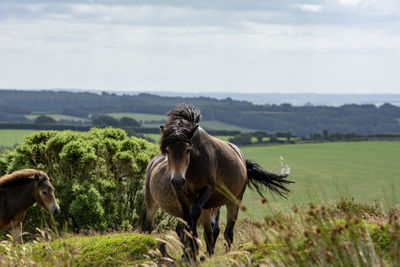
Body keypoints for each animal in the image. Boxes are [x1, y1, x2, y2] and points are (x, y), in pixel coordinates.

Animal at [142, 104, 292, 260]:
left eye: (188, 150)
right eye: (167, 150)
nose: (177, 180)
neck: (192, 168)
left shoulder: (206, 192)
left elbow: (198, 220)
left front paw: (195, 250)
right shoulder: (183, 195)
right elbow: (188, 220)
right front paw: (191, 251)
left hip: (233, 201)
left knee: (227, 231)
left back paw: (226, 253)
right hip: (152, 203)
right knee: (148, 226)